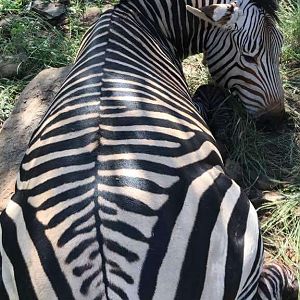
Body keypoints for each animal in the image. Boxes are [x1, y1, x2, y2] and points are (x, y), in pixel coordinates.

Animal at [0, 0, 296, 298]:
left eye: (280, 49)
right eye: (249, 58)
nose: (277, 120)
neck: (141, 18)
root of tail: (104, 280)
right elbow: (205, 91)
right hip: (240, 223)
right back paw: (285, 276)